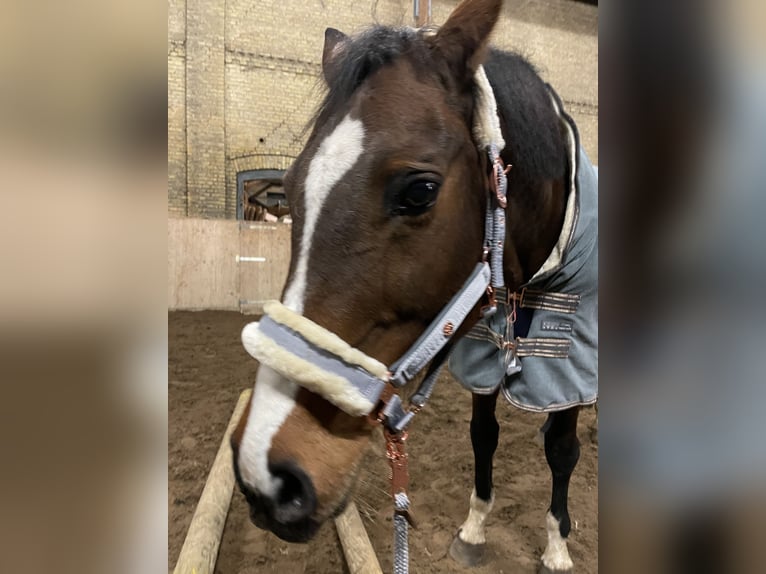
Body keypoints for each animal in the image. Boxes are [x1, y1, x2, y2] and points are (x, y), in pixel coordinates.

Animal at [231, 2, 596, 572]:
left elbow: (562, 449)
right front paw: (474, 529)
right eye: (288, 189)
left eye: (420, 190)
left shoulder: (568, 362)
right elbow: (483, 436)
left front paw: (557, 547)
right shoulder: (482, 351)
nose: (264, 475)